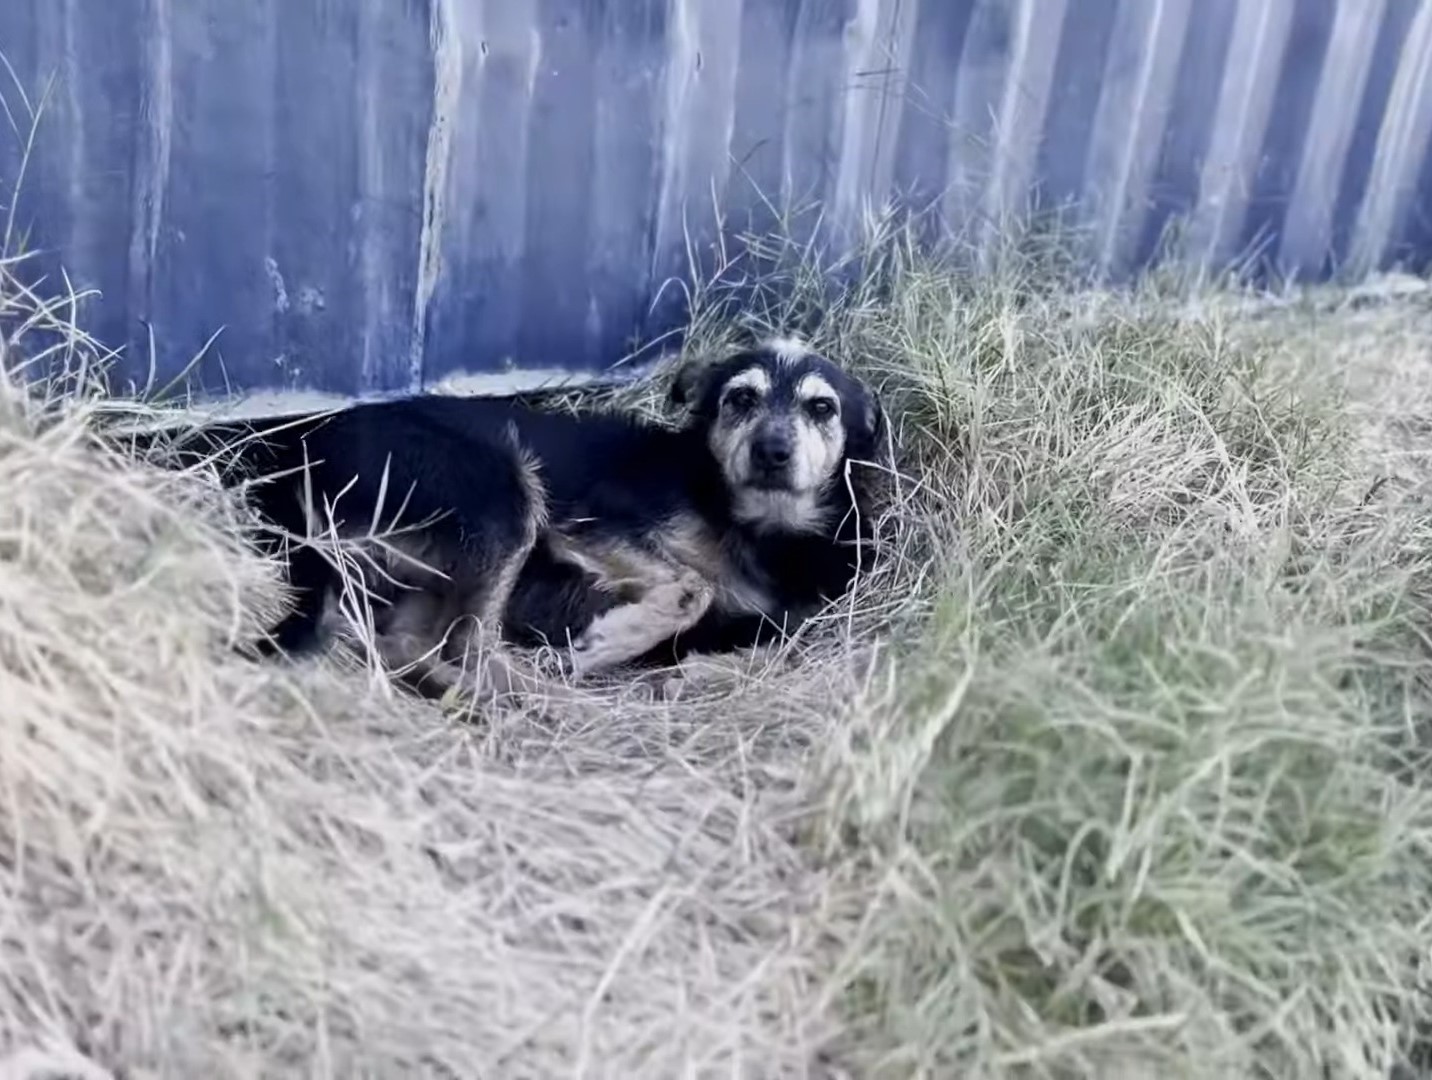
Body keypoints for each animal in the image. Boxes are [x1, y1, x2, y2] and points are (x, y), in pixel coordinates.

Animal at [142, 338, 882, 698]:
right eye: (740, 399)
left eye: (821, 408)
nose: (773, 451)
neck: (751, 523)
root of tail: (296, 451)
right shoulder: (589, 521)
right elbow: (690, 588)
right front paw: (611, 642)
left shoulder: (783, 619)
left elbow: (767, 649)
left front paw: (684, 673)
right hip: (501, 492)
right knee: (465, 643)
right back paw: (536, 694)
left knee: (411, 646)